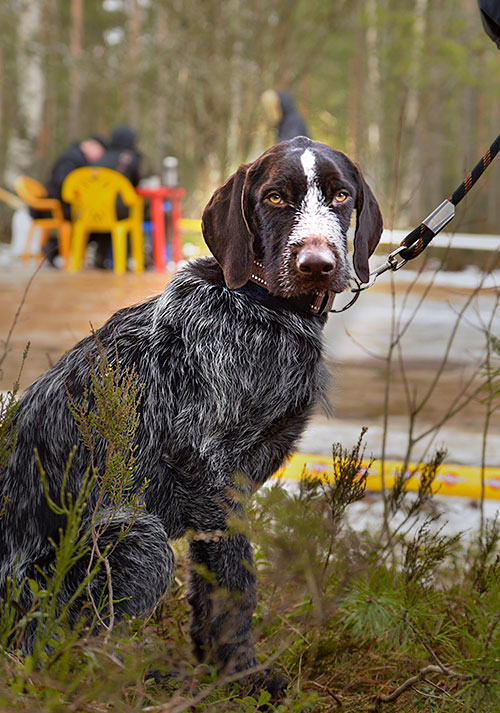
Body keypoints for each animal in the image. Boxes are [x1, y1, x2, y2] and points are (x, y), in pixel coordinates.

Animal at [0, 137, 382, 692]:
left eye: (340, 195)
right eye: (274, 197)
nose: (317, 263)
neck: (263, 305)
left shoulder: (227, 489)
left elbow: (212, 592)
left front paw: (218, 669)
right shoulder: (208, 477)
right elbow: (236, 582)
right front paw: (245, 677)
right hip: (139, 541)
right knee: (50, 653)